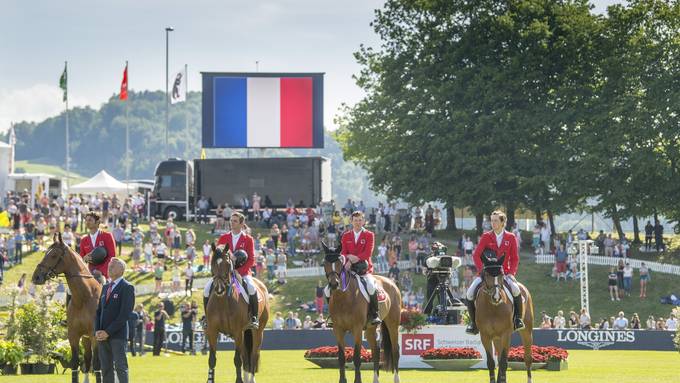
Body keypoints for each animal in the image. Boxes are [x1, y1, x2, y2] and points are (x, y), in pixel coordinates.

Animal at [31, 232, 102, 383]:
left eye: (53, 255)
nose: (36, 277)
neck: (84, 297)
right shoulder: (73, 335)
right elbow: (75, 364)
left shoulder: (95, 336)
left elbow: (98, 366)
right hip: (85, 339)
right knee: (87, 359)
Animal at [206, 246, 270, 383]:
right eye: (212, 263)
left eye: (227, 264)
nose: (219, 289)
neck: (222, 301)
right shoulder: (212, 331)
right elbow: (212, 359)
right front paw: (210, 380)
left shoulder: (237, 331)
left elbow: (237, 359)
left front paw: (239, 380)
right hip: (244, 332)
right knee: (246, 356)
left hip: (257, 331)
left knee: (253, 355)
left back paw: (251, 379)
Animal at [322, 243, 402, 383]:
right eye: (325, 263)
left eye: (339, 263)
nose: (334, 284)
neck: (343, 297)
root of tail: (392, 282)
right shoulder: (337, 329)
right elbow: (341, 357)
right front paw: (342, 380)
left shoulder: (357, 328)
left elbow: (356, 357)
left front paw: (357, 380)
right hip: (370, 328)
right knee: (375, 351)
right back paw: (375, 379)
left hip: (393, 324)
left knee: (395, 350)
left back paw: (396, 379)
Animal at [476, 250, 532, 383]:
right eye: (486, 274)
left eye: (501, 274)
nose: (496, 297)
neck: (493, 308)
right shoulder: (485, 336)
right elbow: (491, 363)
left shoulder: (506, 334)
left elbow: (503, 363)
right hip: (496, 338)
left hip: (526, 331)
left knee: (527, 358)